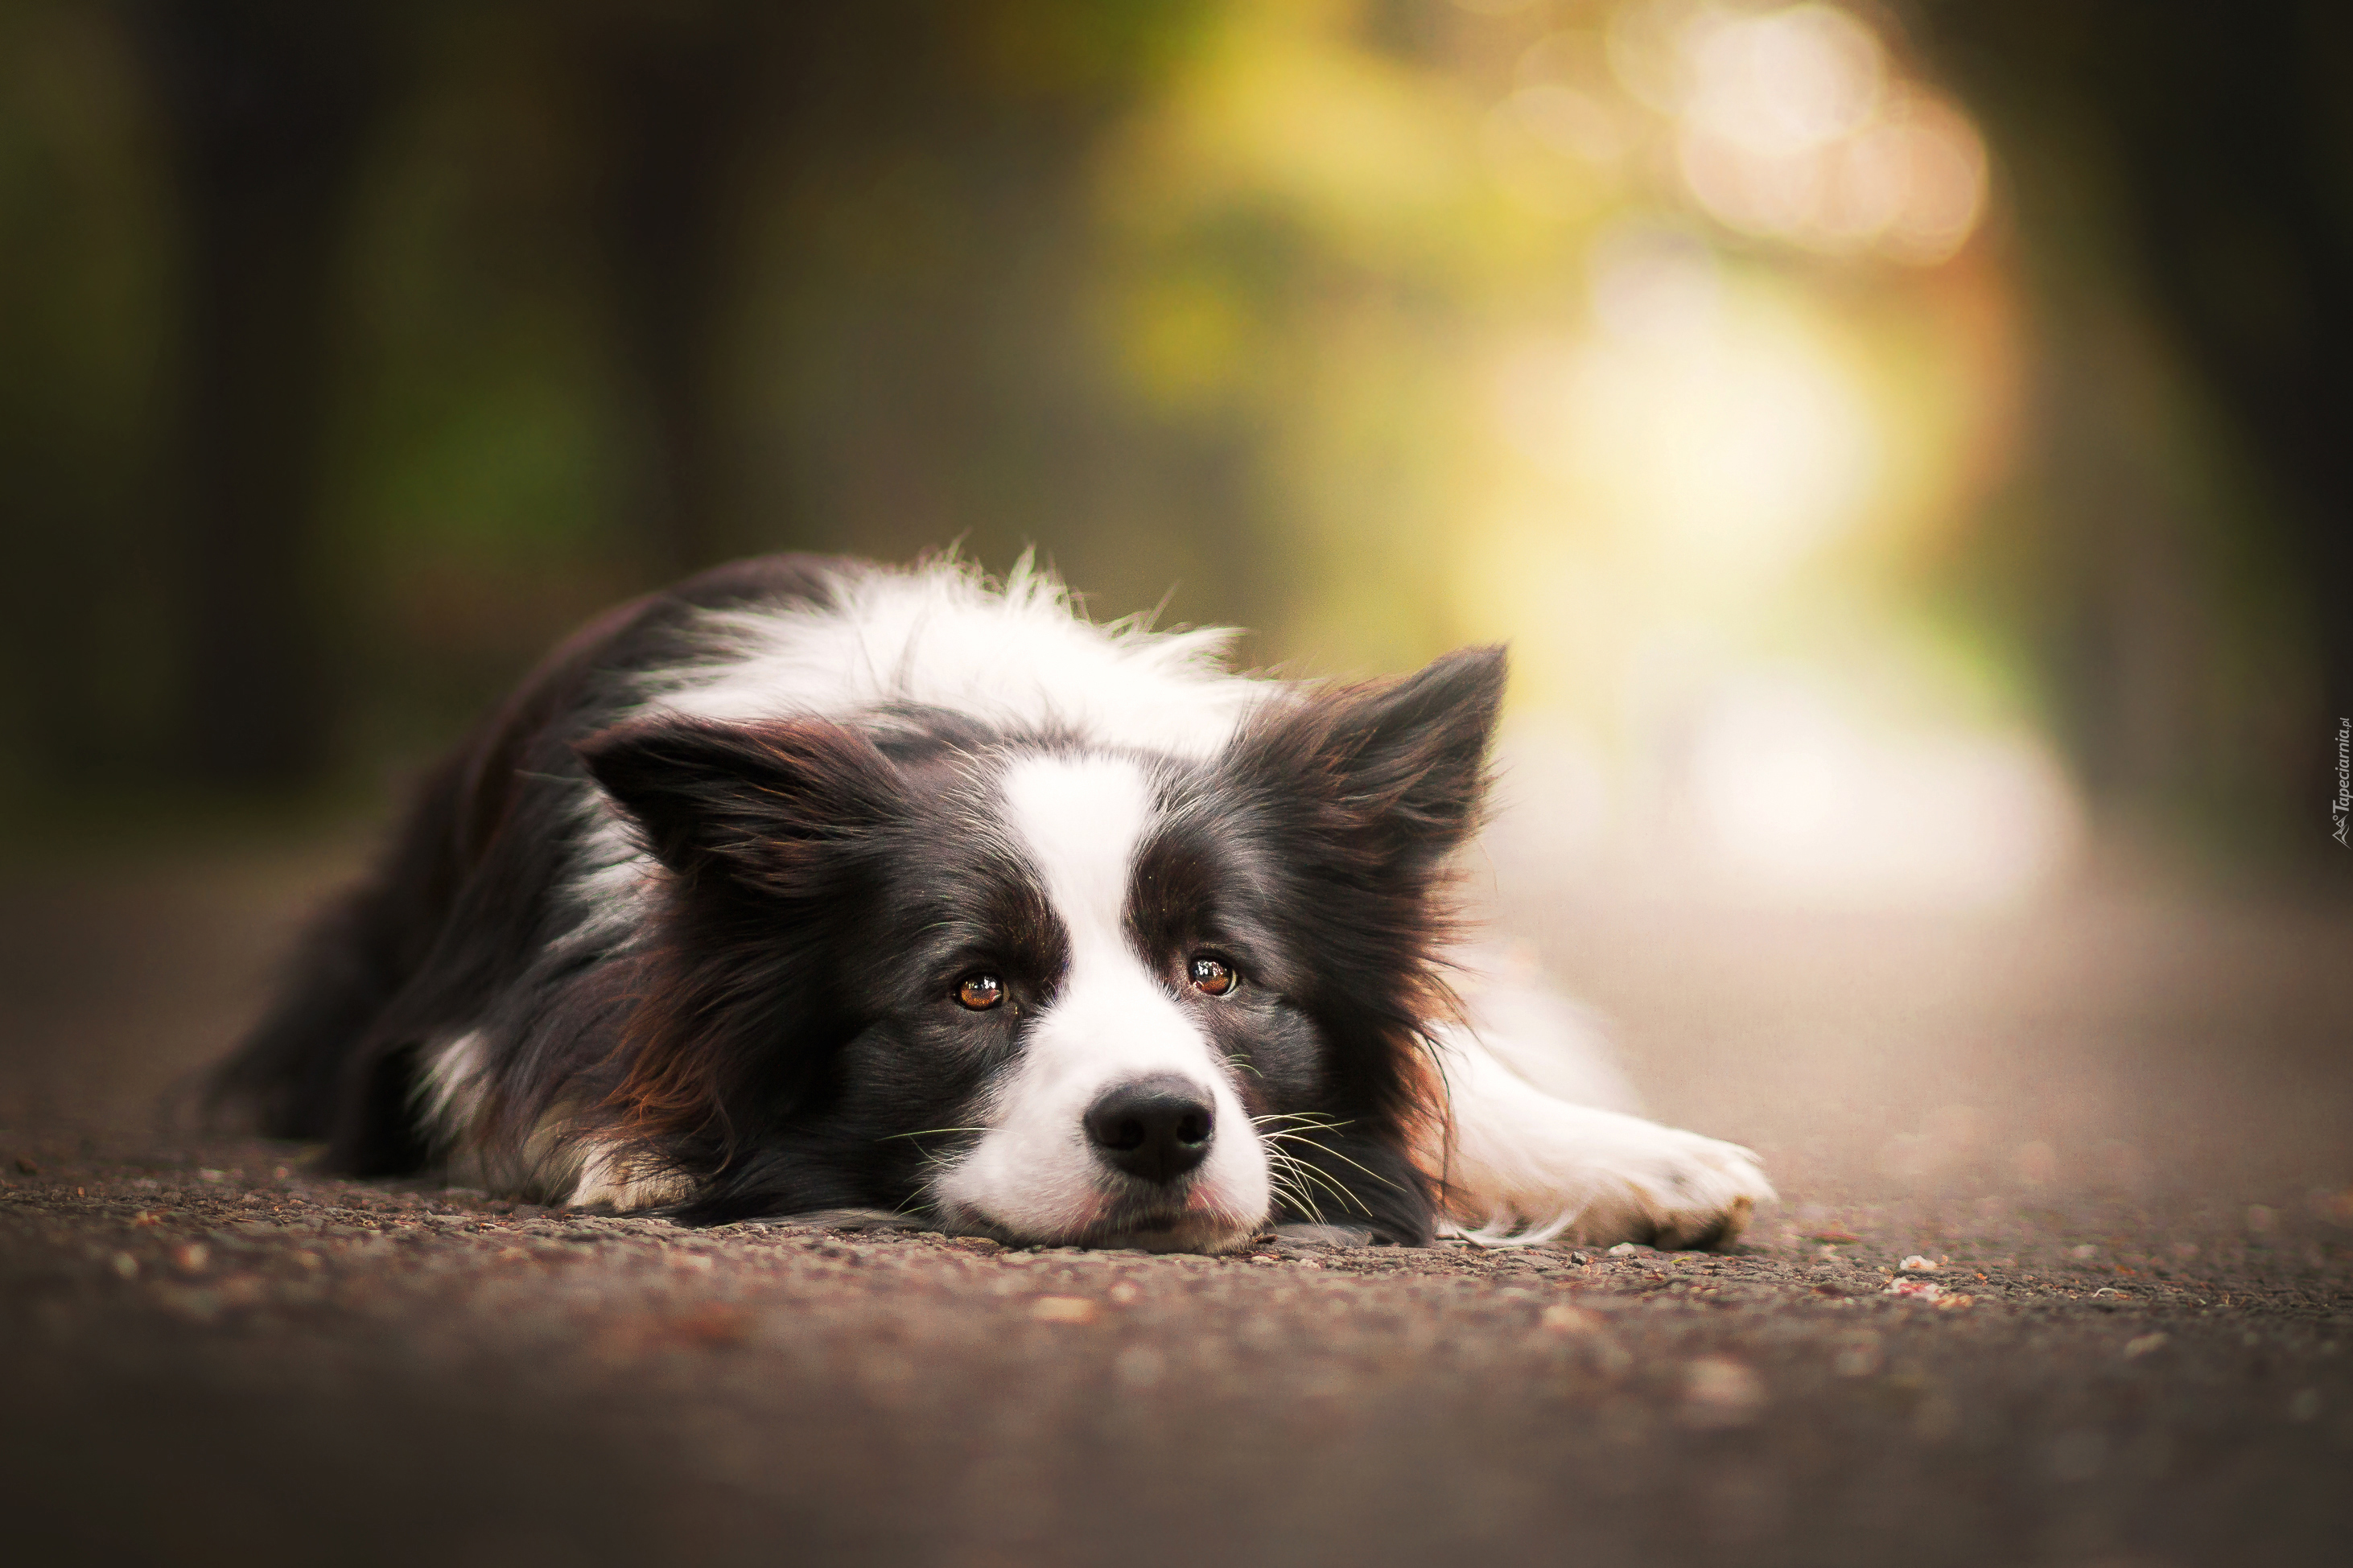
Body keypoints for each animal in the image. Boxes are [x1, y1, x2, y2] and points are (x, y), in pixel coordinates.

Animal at [216, 557, 1769, 1260]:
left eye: (1217, 973)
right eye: (973, 986)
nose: (1160, 1125)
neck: (958, 722)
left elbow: (1459, 1082)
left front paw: (1636, 1159)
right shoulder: (456, 1029)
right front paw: (629, 1146)